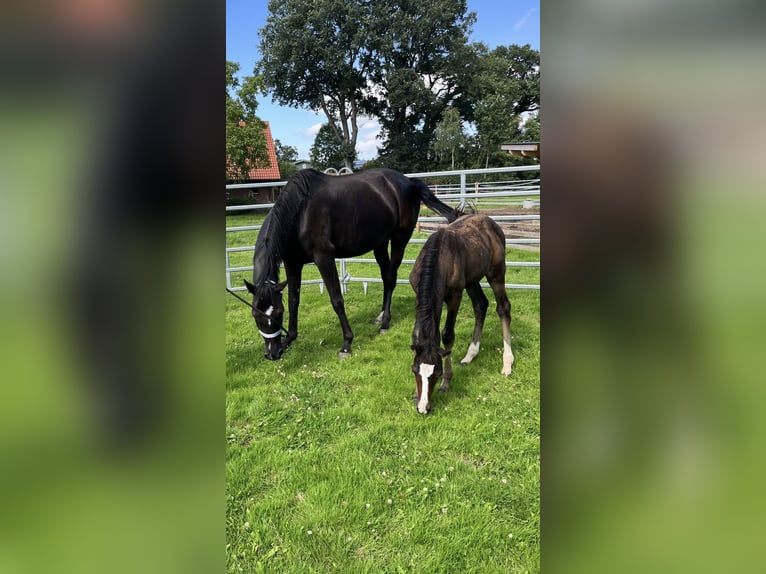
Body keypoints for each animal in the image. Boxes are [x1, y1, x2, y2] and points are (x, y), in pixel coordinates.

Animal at [248, 169, 462, 362]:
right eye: (255, 315)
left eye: (278, 313)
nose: (272, 353)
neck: (300, 212)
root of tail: (408, 182)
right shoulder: (293, 263)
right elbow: (294, 301)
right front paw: (290, 339)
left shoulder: (324, 257)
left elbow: (336, 300)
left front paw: (346, 343)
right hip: (380, 244)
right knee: (386, 277)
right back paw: (381, 315)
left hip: (399, 240)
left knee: (391, 278)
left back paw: (385, 323)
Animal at [408, 215, 516, 414]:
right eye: (414, 370)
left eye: (437, 373)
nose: (423, 408)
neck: (439, 256)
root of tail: (492, 223)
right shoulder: (419, 295)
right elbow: (418, 334)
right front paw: (415, 393)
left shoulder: (454, 296)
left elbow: (447, 335)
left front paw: (446, 383)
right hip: (472, 280)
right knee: (480, 305)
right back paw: (470, 355)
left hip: (496, 273)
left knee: (503, 308)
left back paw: (507, 362)